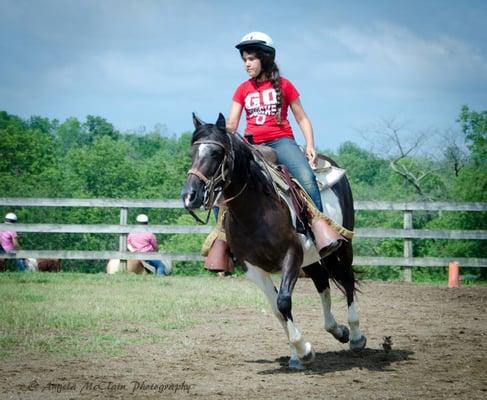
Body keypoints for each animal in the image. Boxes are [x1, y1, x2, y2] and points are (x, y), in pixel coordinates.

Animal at [183, 112, 366, 368]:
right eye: (192, 153)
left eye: (217, 153)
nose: (189, 196)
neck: (254, 211)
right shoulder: (253, 268)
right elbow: (277, 309)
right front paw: (297, 353)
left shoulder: (291, 254)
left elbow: (283, 302)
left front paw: (304, 350)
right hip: (312, 259)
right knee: (322, 281)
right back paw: (337, 330)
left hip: (342, 246)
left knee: (347, 279)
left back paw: (356, 336)